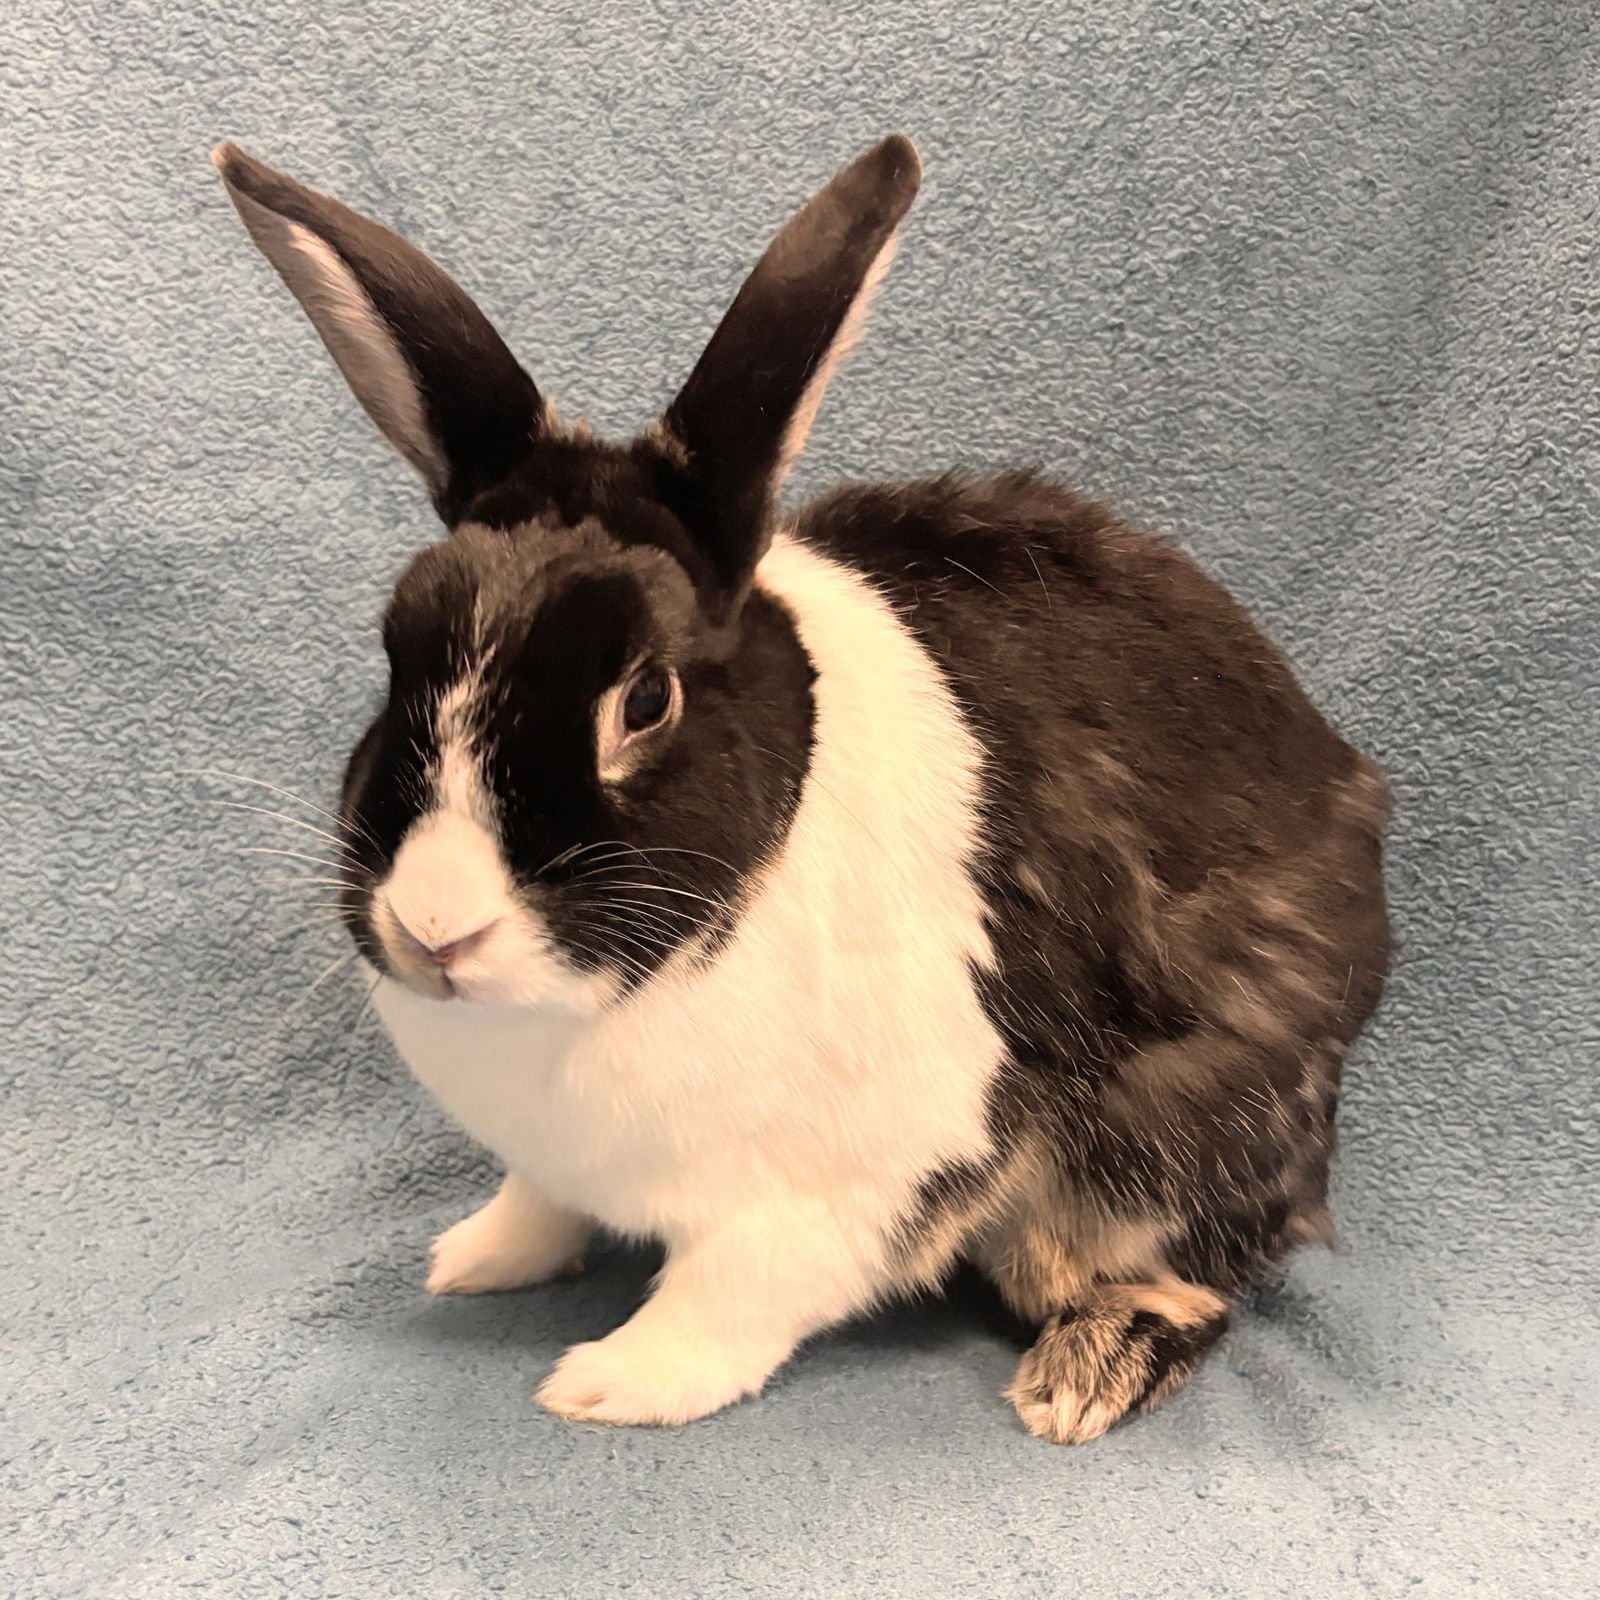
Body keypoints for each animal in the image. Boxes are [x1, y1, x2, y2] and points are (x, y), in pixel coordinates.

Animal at [213, 133, 1389, 1445]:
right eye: (392, 655)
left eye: (645, 701)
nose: (434, 927)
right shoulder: (559, 1161)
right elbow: (540, 1202)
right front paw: (475, 1256)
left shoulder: (851, 1181)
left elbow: (735, 1292)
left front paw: (609, 1383)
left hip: (1180, 1129)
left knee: (1189, 1269)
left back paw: (1079, 1379)